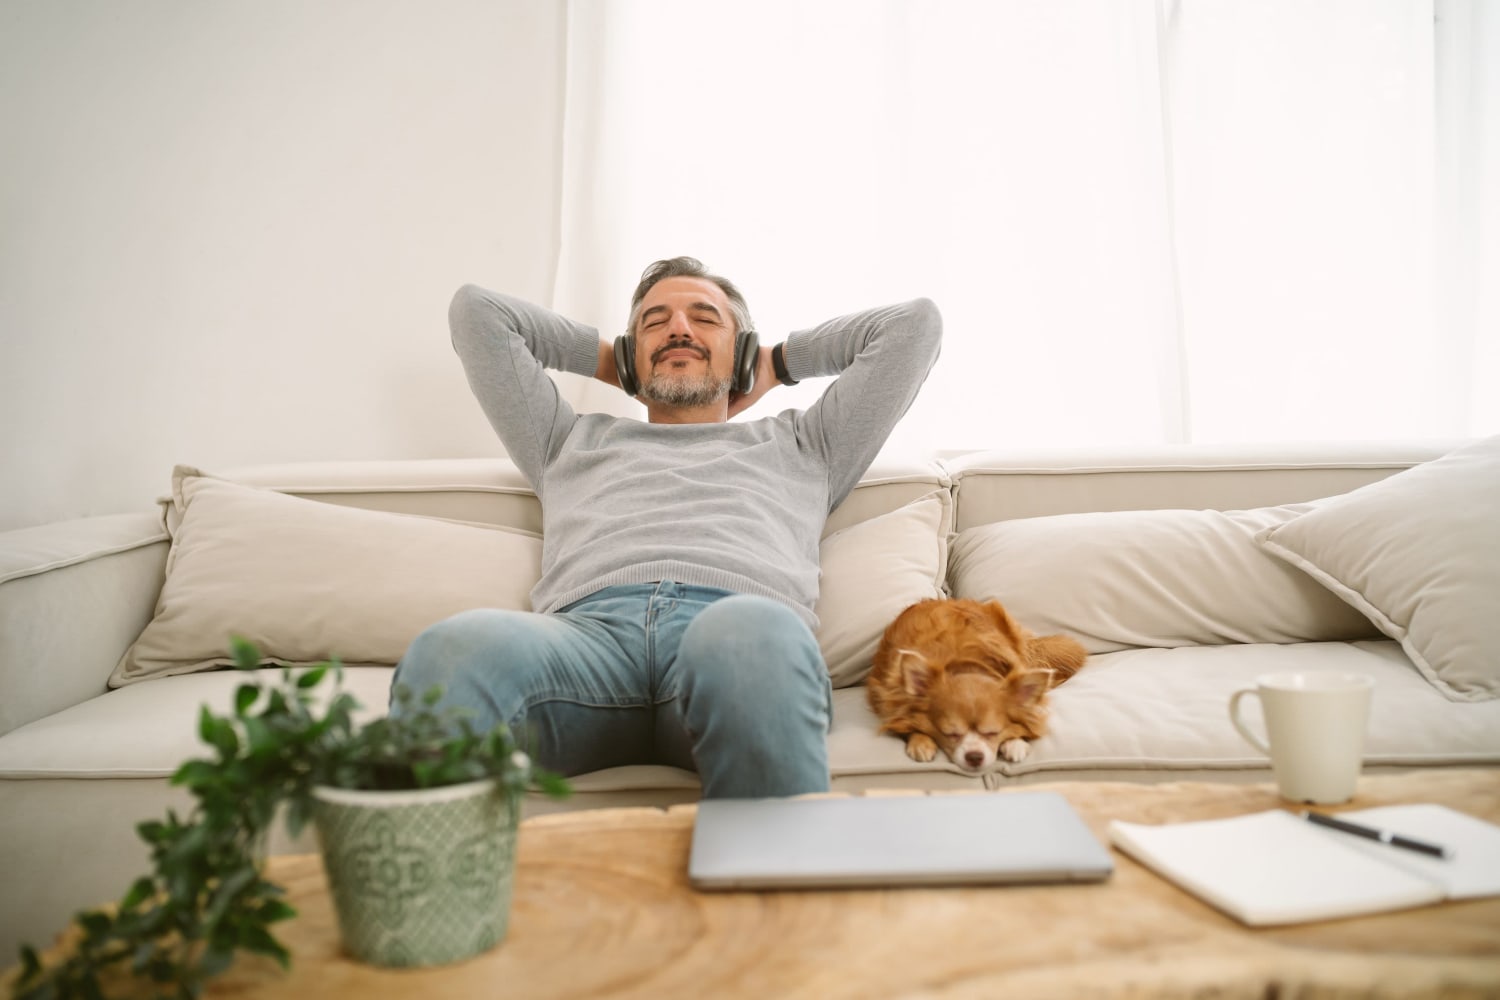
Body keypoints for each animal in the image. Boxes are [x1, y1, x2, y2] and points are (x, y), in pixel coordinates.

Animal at [870, 602, 1092, 773]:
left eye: (993, 733)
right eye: (950, 734)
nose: (974, 756)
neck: (964, 665)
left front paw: (1015, 743)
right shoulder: (888, 697)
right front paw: (920, 742)